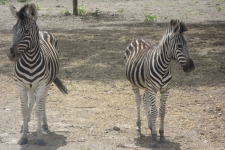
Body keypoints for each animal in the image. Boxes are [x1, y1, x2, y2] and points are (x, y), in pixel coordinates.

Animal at [7, 3, 68, 146]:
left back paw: (45, 124)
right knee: (31, 100)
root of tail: (43, 32)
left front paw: (40, 136)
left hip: (47, 83)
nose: (11, 54)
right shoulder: (20, 86)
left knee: (42, 100)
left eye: (27, 31)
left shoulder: (41, 85)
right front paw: (24, 135)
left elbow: (38, 110)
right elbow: (24, 110)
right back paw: (25, 125)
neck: (29, 61)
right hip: (30, 86)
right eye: (13, 29)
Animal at [125, 19, 195, 148]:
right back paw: (138, 128)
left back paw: (150, 126)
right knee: (138, 100)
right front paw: (154, 138)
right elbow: (154, 112)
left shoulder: (165, 89)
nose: (191, 67)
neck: (164, 67)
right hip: (135, 83)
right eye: (179, 46)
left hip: (147, 86)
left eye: (187, 44)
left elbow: (162, 112)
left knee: (145, 101)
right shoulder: (153, 89)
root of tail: (139, 37)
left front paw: (161, 135)